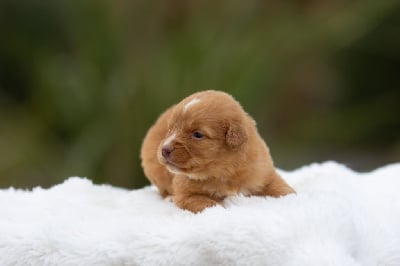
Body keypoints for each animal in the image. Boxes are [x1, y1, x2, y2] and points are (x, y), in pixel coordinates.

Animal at [141, 90, 294, 213]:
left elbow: (283, 189)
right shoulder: (186, 194)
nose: (164, 149)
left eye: (197, 134)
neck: (224, 171)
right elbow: (208, 204)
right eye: (170, 129)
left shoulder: (263, 173)